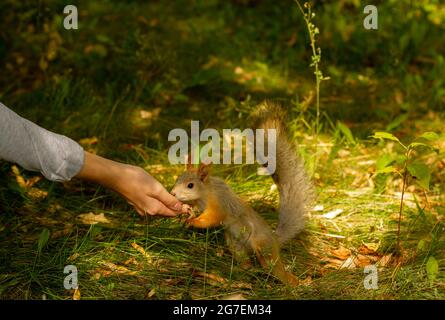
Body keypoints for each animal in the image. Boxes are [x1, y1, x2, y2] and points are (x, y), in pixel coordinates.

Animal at [170, 101, 312, 286]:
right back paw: (244, 271)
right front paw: (187, 213)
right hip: (236, 245)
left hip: (263, 248)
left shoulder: (220, 204)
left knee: (275, 268)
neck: (205, 194)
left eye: (190, 185)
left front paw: (194, 221)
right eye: (178, 178)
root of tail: (274, 239)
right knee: (245, 260)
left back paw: (294, 284)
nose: (172, 193)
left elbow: (212, 218)